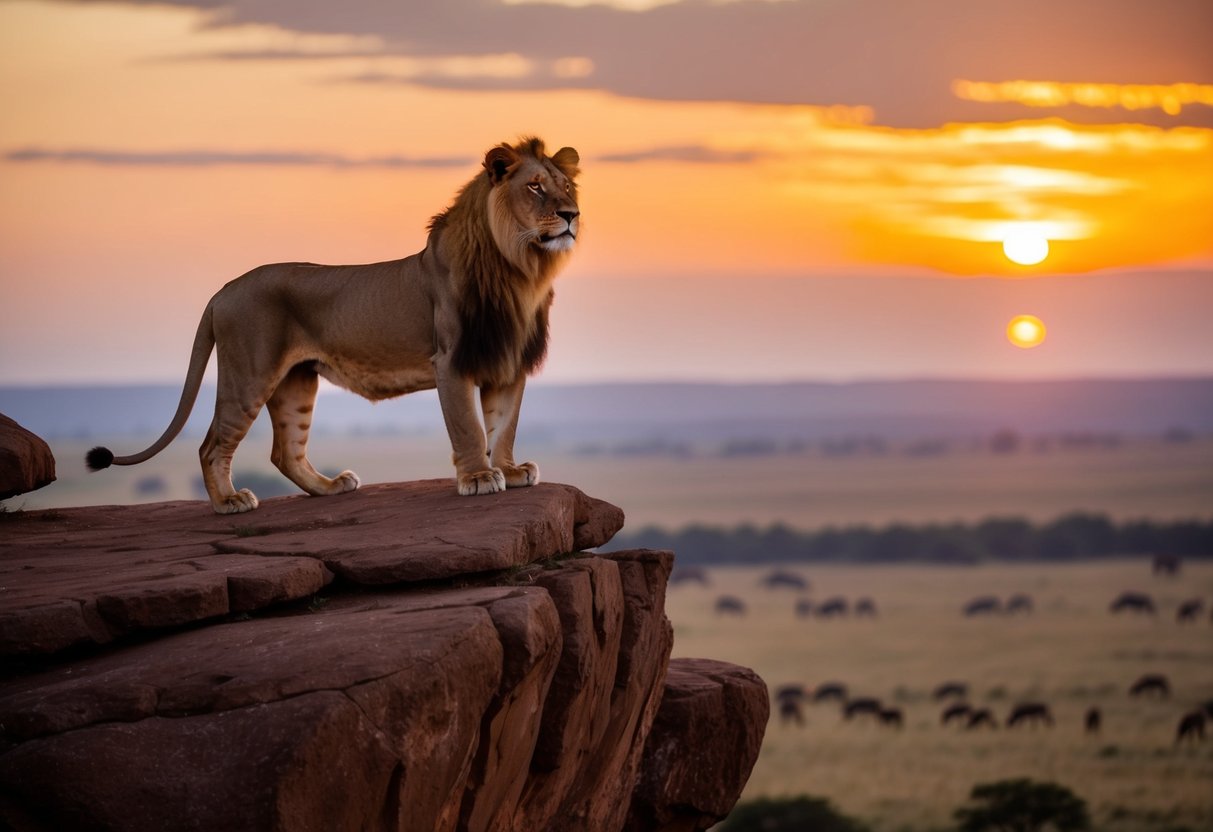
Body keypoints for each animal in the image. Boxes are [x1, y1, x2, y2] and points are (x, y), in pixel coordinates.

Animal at [87, 137, 579, 514]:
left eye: (567, 187)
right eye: (535, 187)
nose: (572, 215)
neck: (518, 269)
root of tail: (223, 289)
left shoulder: (508, 360)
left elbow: (504, 423)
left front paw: (510, 470)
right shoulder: (452, 360)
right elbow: (470, 426)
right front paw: (478, 477)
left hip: (296, 382)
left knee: (285, 451)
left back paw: (329, 487)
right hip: (249, 373)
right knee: (212, 445)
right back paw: (229, 502)